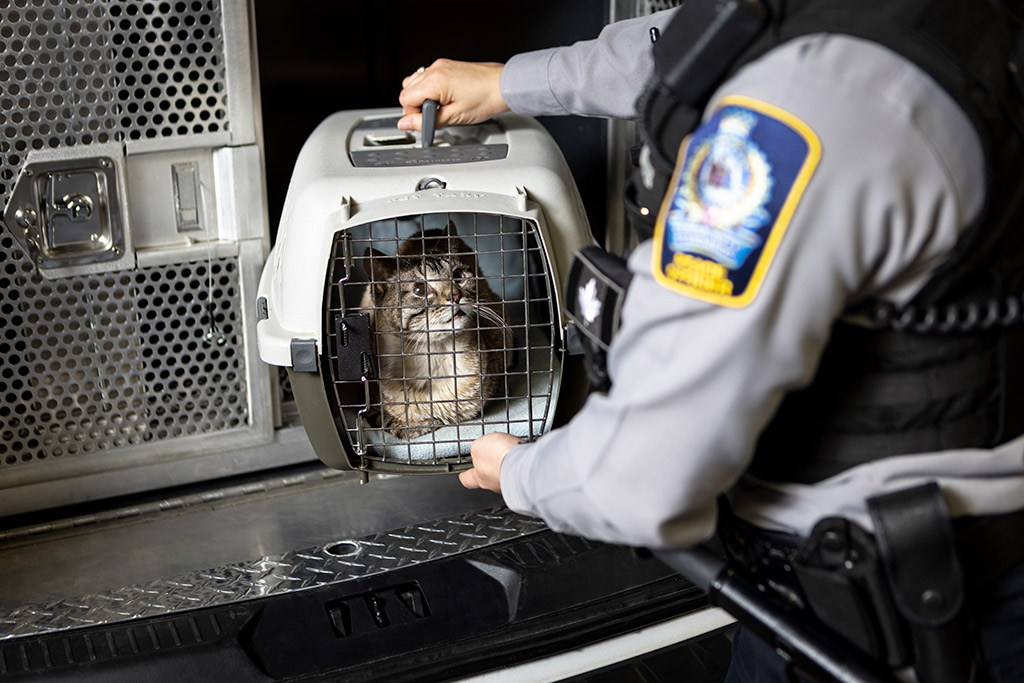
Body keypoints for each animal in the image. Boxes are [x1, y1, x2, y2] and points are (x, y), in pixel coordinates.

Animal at [360, 222, 512, 440]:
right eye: (420, 290)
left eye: (458, 276)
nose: (455, 296)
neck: (433, 356)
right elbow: (390, 420)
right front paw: (413, 424)